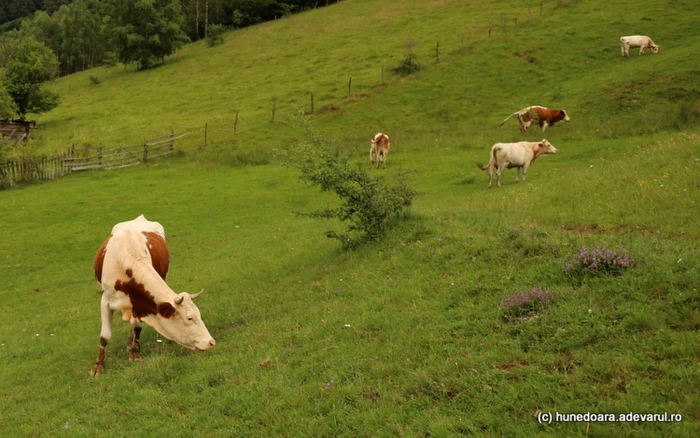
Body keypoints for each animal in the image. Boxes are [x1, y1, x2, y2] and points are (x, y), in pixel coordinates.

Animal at [91, 215, 216, 376]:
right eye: (189, 318)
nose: (211, 342)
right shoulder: (106, 300)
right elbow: (105, 336)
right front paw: (98, 366)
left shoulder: (141, 305)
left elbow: (137, 327)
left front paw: (135, 353)